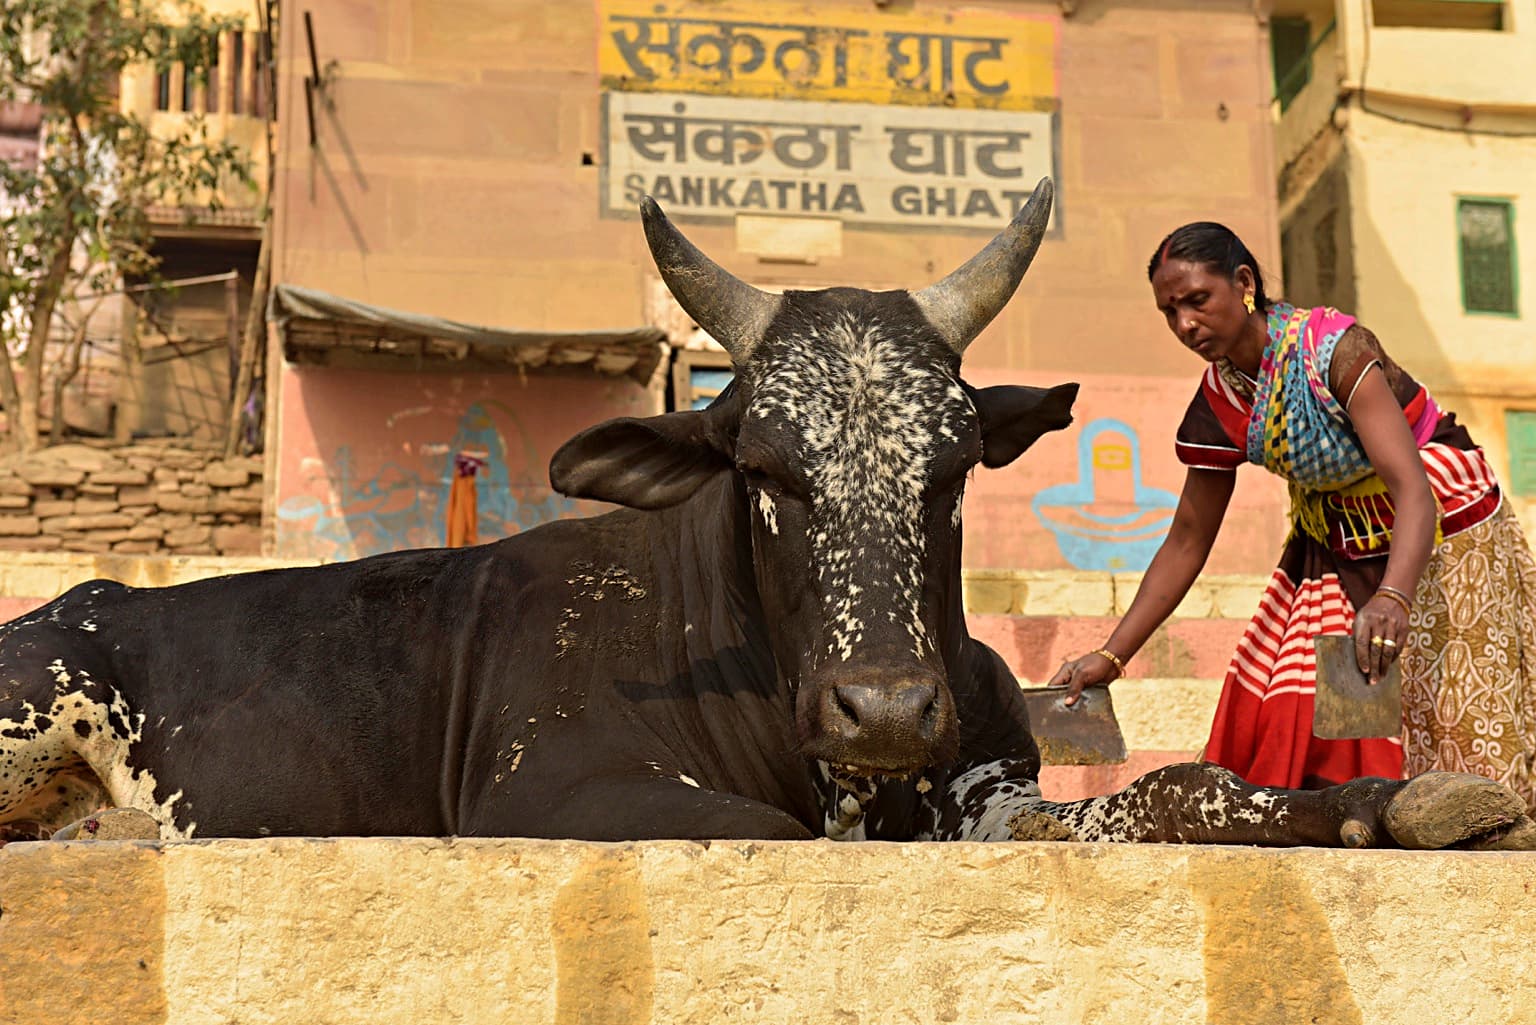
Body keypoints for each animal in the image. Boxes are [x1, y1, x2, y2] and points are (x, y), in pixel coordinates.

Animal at [2, 178, 1531, 852]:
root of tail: (86, 596)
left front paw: (1393, 799)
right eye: (762, 465)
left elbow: (1174, 787)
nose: (887, 707)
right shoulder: (562, 795)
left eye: (956, 462)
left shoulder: (988, 789)